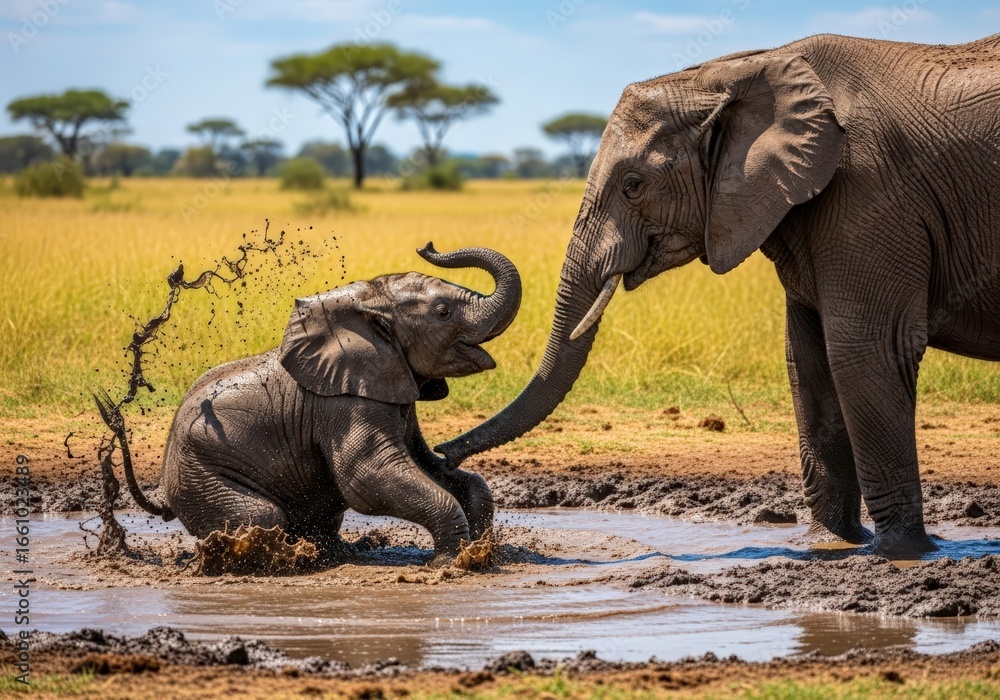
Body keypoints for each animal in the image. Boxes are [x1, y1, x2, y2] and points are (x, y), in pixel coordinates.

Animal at [99, 243, 521, 566]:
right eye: (443, 313)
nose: (427, 245)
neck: (367, 302)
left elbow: (426, 465)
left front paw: (481, 548)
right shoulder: (344, 403)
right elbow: (367, 478)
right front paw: (452, 561)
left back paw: (336, 554)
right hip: (199, 476)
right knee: (262, 514)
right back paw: (285, 559)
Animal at [437, 33, 1000, 556]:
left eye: (634, 184)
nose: (445, 456)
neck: (735, 72)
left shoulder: (872, 192)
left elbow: (865, 351)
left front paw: (905, 554)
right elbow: (807, 359)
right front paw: (830, 546)